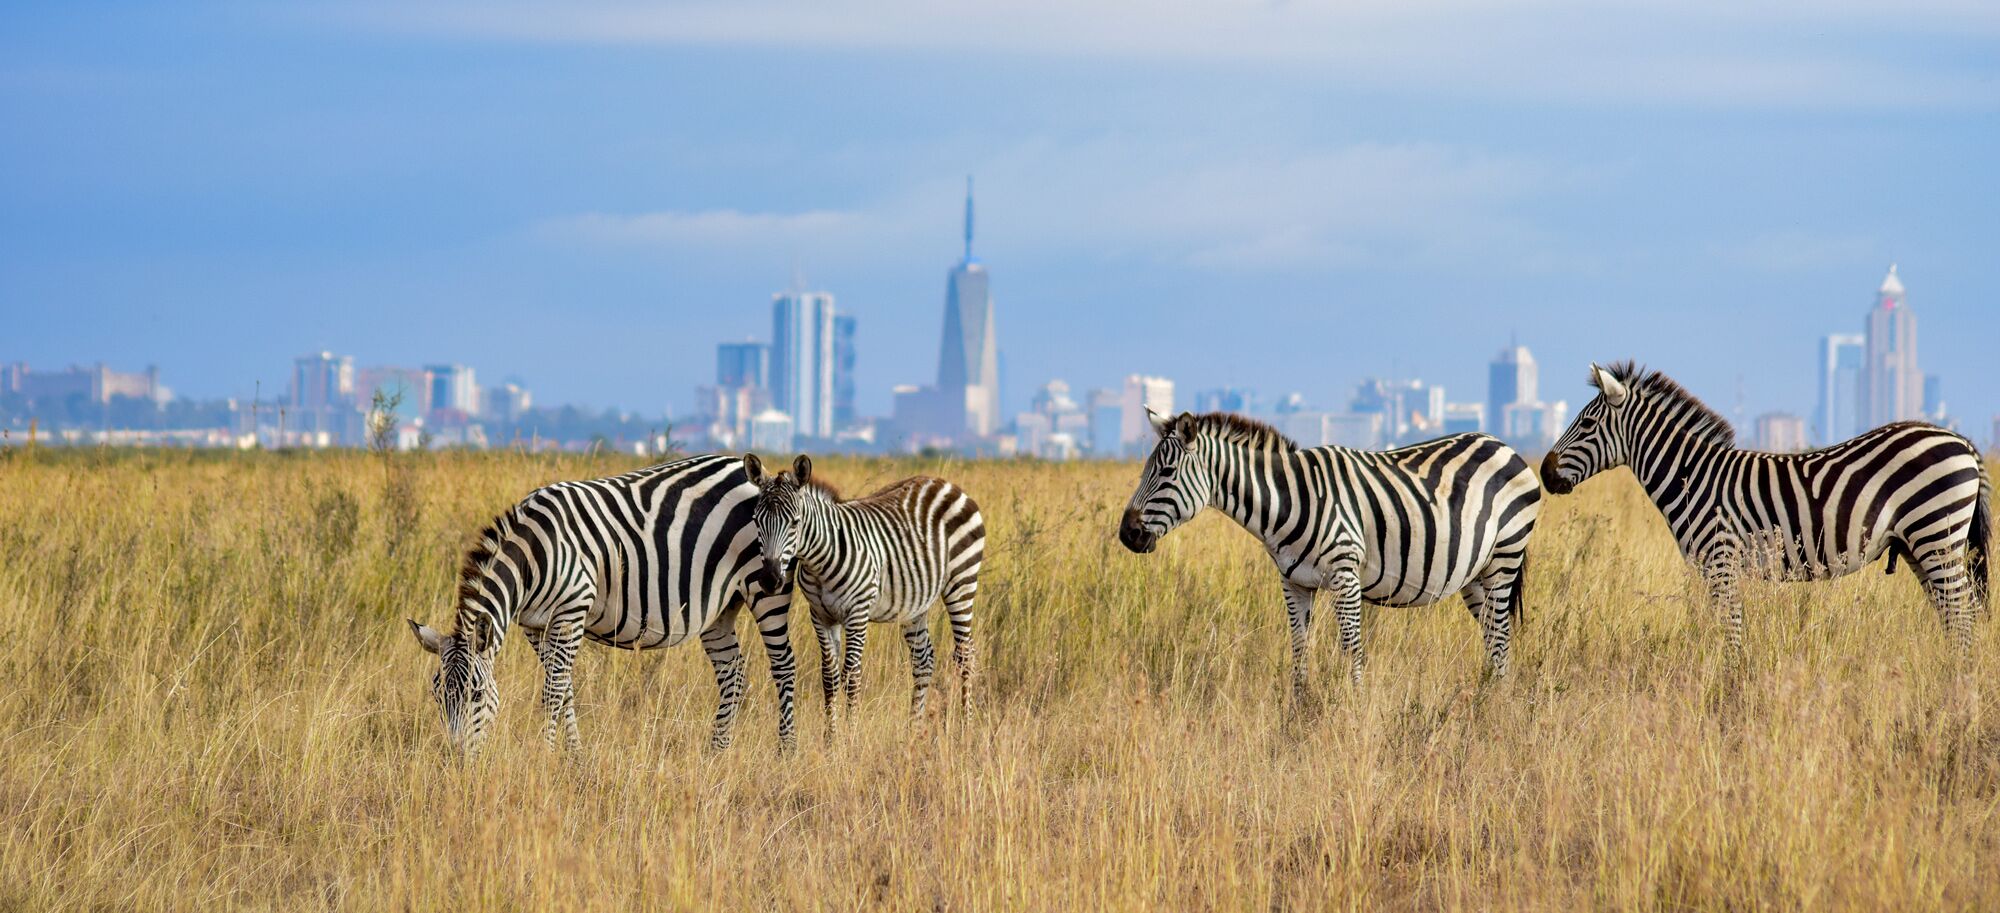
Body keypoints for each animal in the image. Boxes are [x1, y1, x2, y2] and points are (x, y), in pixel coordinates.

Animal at [406, 453, 799, 756]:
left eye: (476, 695)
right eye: (437, 696)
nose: (457, 759)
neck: (533, 556)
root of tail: (750, 470)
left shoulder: (572, 610)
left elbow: (553, 691)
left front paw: (546, 756)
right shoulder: (535, 625)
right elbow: (565, 690)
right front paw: (574, 756)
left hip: (766, 586)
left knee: (783, 666)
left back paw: (786, 752)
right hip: (720, 606)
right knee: (733, 671)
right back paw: (717, 751)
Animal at [744, 453, 982, 734]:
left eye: (795, 522)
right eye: (756, 521)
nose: (770, 580)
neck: (820, 561)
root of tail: (945, 483)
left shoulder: (857, 613)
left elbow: (852, 675)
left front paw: (851, 736)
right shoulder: (820, 616)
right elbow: (829, 676)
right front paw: (831, 738)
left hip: (962, 582)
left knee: (966, 655)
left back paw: (966, 727)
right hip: (915, 603)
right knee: (923, 661)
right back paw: (913, 729)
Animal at [1117, 410, 1543, 694]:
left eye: (1166, 473)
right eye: (1145, 470)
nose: (1126, 534)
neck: (1288, 501)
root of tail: (1503, 445)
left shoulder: (1345, 576)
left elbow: (1352, 649)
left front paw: (1354, 711)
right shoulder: (1294, 583)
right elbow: (1299, 649)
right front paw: (1298, 713)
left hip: (1505, 557)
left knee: (1501, 635)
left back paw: (1495, 707)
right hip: (1475, 575)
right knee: (1492, 636)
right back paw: (1488, 698)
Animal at [1541, 361, 1992, 653]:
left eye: (1586, 424)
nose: (1545, 473)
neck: (1692, 477)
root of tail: (1962, 441)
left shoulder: (1720, 562)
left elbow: (1732, 632)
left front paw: (1731, 687)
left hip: (1935, 534)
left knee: (1962, 613)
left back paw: (1958, 682)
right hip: (1921, 545)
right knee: (1954, 613)